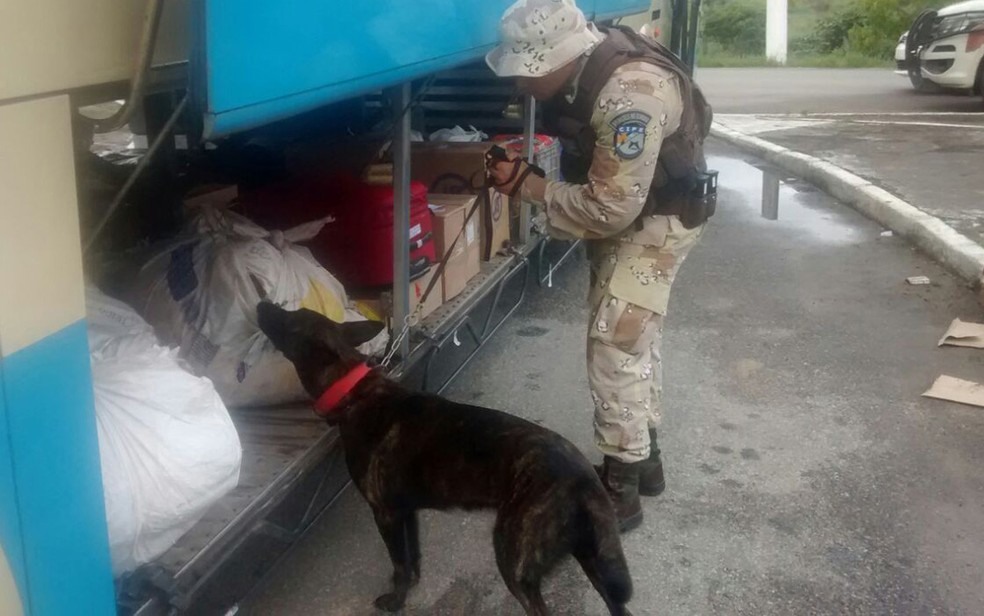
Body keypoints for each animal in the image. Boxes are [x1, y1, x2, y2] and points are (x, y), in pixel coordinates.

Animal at [258, 304, 636, 616]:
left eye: (289, 320)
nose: (262, 304)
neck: (354, 392)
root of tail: (583, 477)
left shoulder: (385, 514)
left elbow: (398, 564)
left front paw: (395, 602)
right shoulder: (405, 512)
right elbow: (411, 559)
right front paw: (410, 587)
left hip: (514, 559)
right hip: (592, 559)